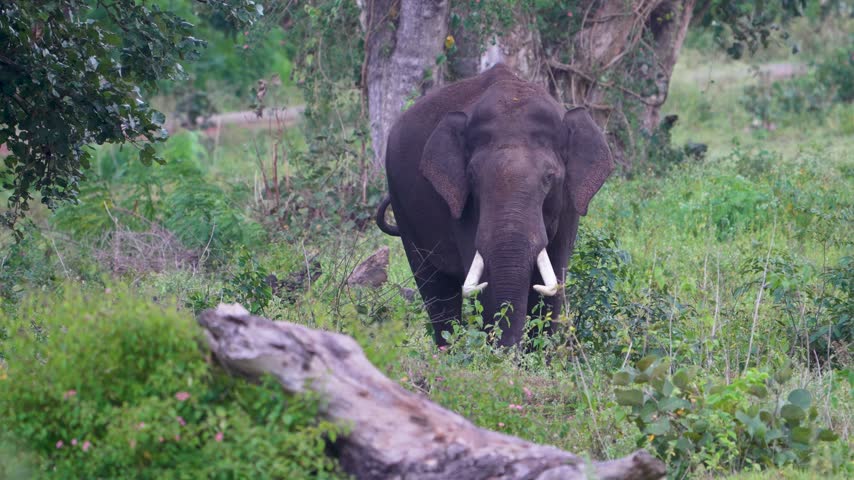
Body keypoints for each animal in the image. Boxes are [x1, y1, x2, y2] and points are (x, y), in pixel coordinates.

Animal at [376, 64, 614, 347]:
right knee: (435, 288)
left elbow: (555, 277)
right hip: (403, 208)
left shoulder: (569, 204)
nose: (509, 351)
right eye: (472, 177)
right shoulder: (463, 208)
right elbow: (483, 276)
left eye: (549, 177)